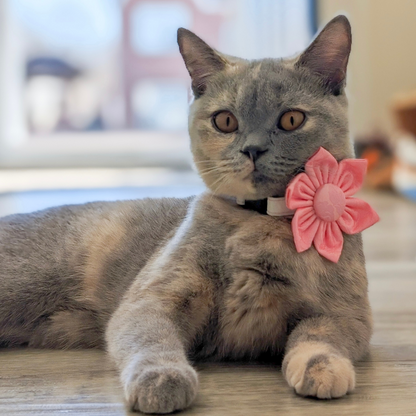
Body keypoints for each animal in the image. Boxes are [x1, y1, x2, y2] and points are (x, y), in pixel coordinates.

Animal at [0, 14, 370, 414]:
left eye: (291, 119)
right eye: (225, 121)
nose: (252, 149)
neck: (259, 222)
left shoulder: (347, 314)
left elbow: (321, 336)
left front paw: (324, 368)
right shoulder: (153, 297)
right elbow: (152, 339)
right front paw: (162, 380)